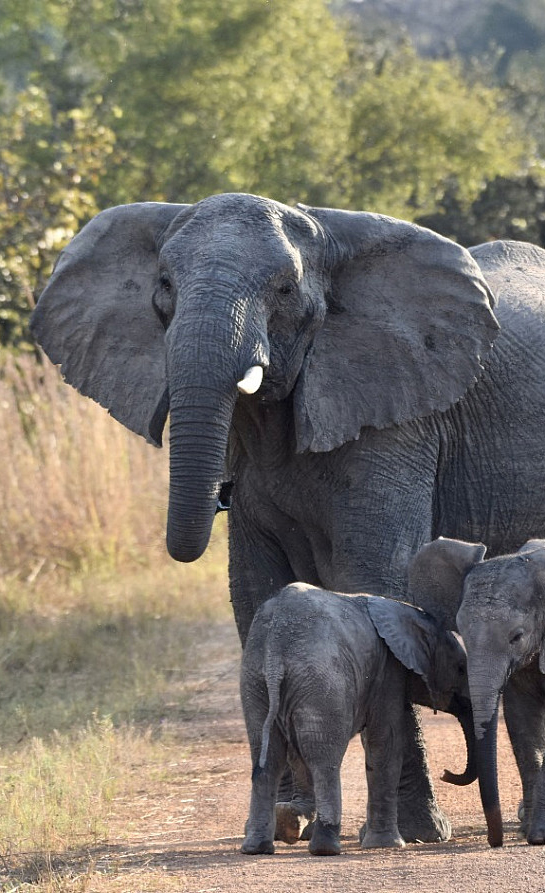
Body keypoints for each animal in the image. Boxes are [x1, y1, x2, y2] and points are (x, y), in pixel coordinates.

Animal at [240, 580, 474, 852]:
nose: (446, 773)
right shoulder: (388, 669)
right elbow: (385, 743)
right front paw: (386, 845)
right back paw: (326, 849)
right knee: (323, 758)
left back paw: (257, 847)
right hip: (322, 681)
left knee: (267, 758)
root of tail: (276, 648)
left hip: (255, 680)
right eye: (461, 669)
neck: (407, 611)